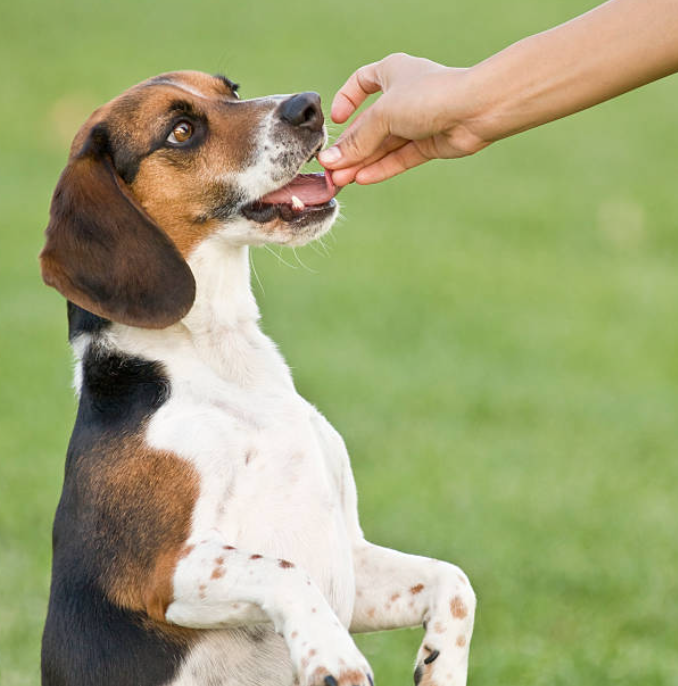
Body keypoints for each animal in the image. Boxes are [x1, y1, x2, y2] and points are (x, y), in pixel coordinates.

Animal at [39, 68, 476, 686]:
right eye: (180, 131)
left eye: (231, 90)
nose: (309, 106)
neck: (223, 359)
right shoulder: (161, 570)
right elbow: (286, 569)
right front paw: (333, 655)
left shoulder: (353, 562)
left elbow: (454, 580)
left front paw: (441, 666)